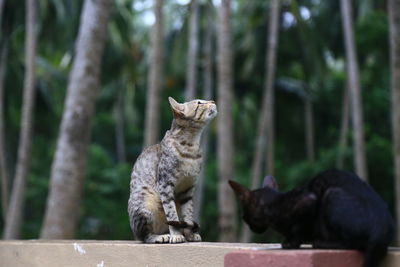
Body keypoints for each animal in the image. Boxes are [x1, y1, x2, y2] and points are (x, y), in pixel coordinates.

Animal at [127, 97, 216, 244]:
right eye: (199, 103)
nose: (213, 101)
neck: (191, 146)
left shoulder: (188, 188)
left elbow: (188, 214)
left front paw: (190, 235)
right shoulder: (165, 184)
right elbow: (171, 213)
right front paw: (176, 235)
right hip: (144, 201)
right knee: (144, 236)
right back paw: (160, 236)